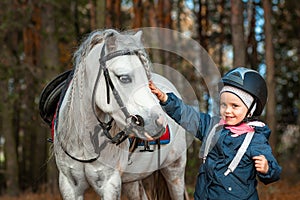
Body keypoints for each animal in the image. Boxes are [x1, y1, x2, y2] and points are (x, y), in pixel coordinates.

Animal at [51, 29, 188, 200]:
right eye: (124, 77)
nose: (159, 123)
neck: (84, 142)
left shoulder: (110, 183)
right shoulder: (69, 186)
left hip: (175, 171)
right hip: (133, 181)